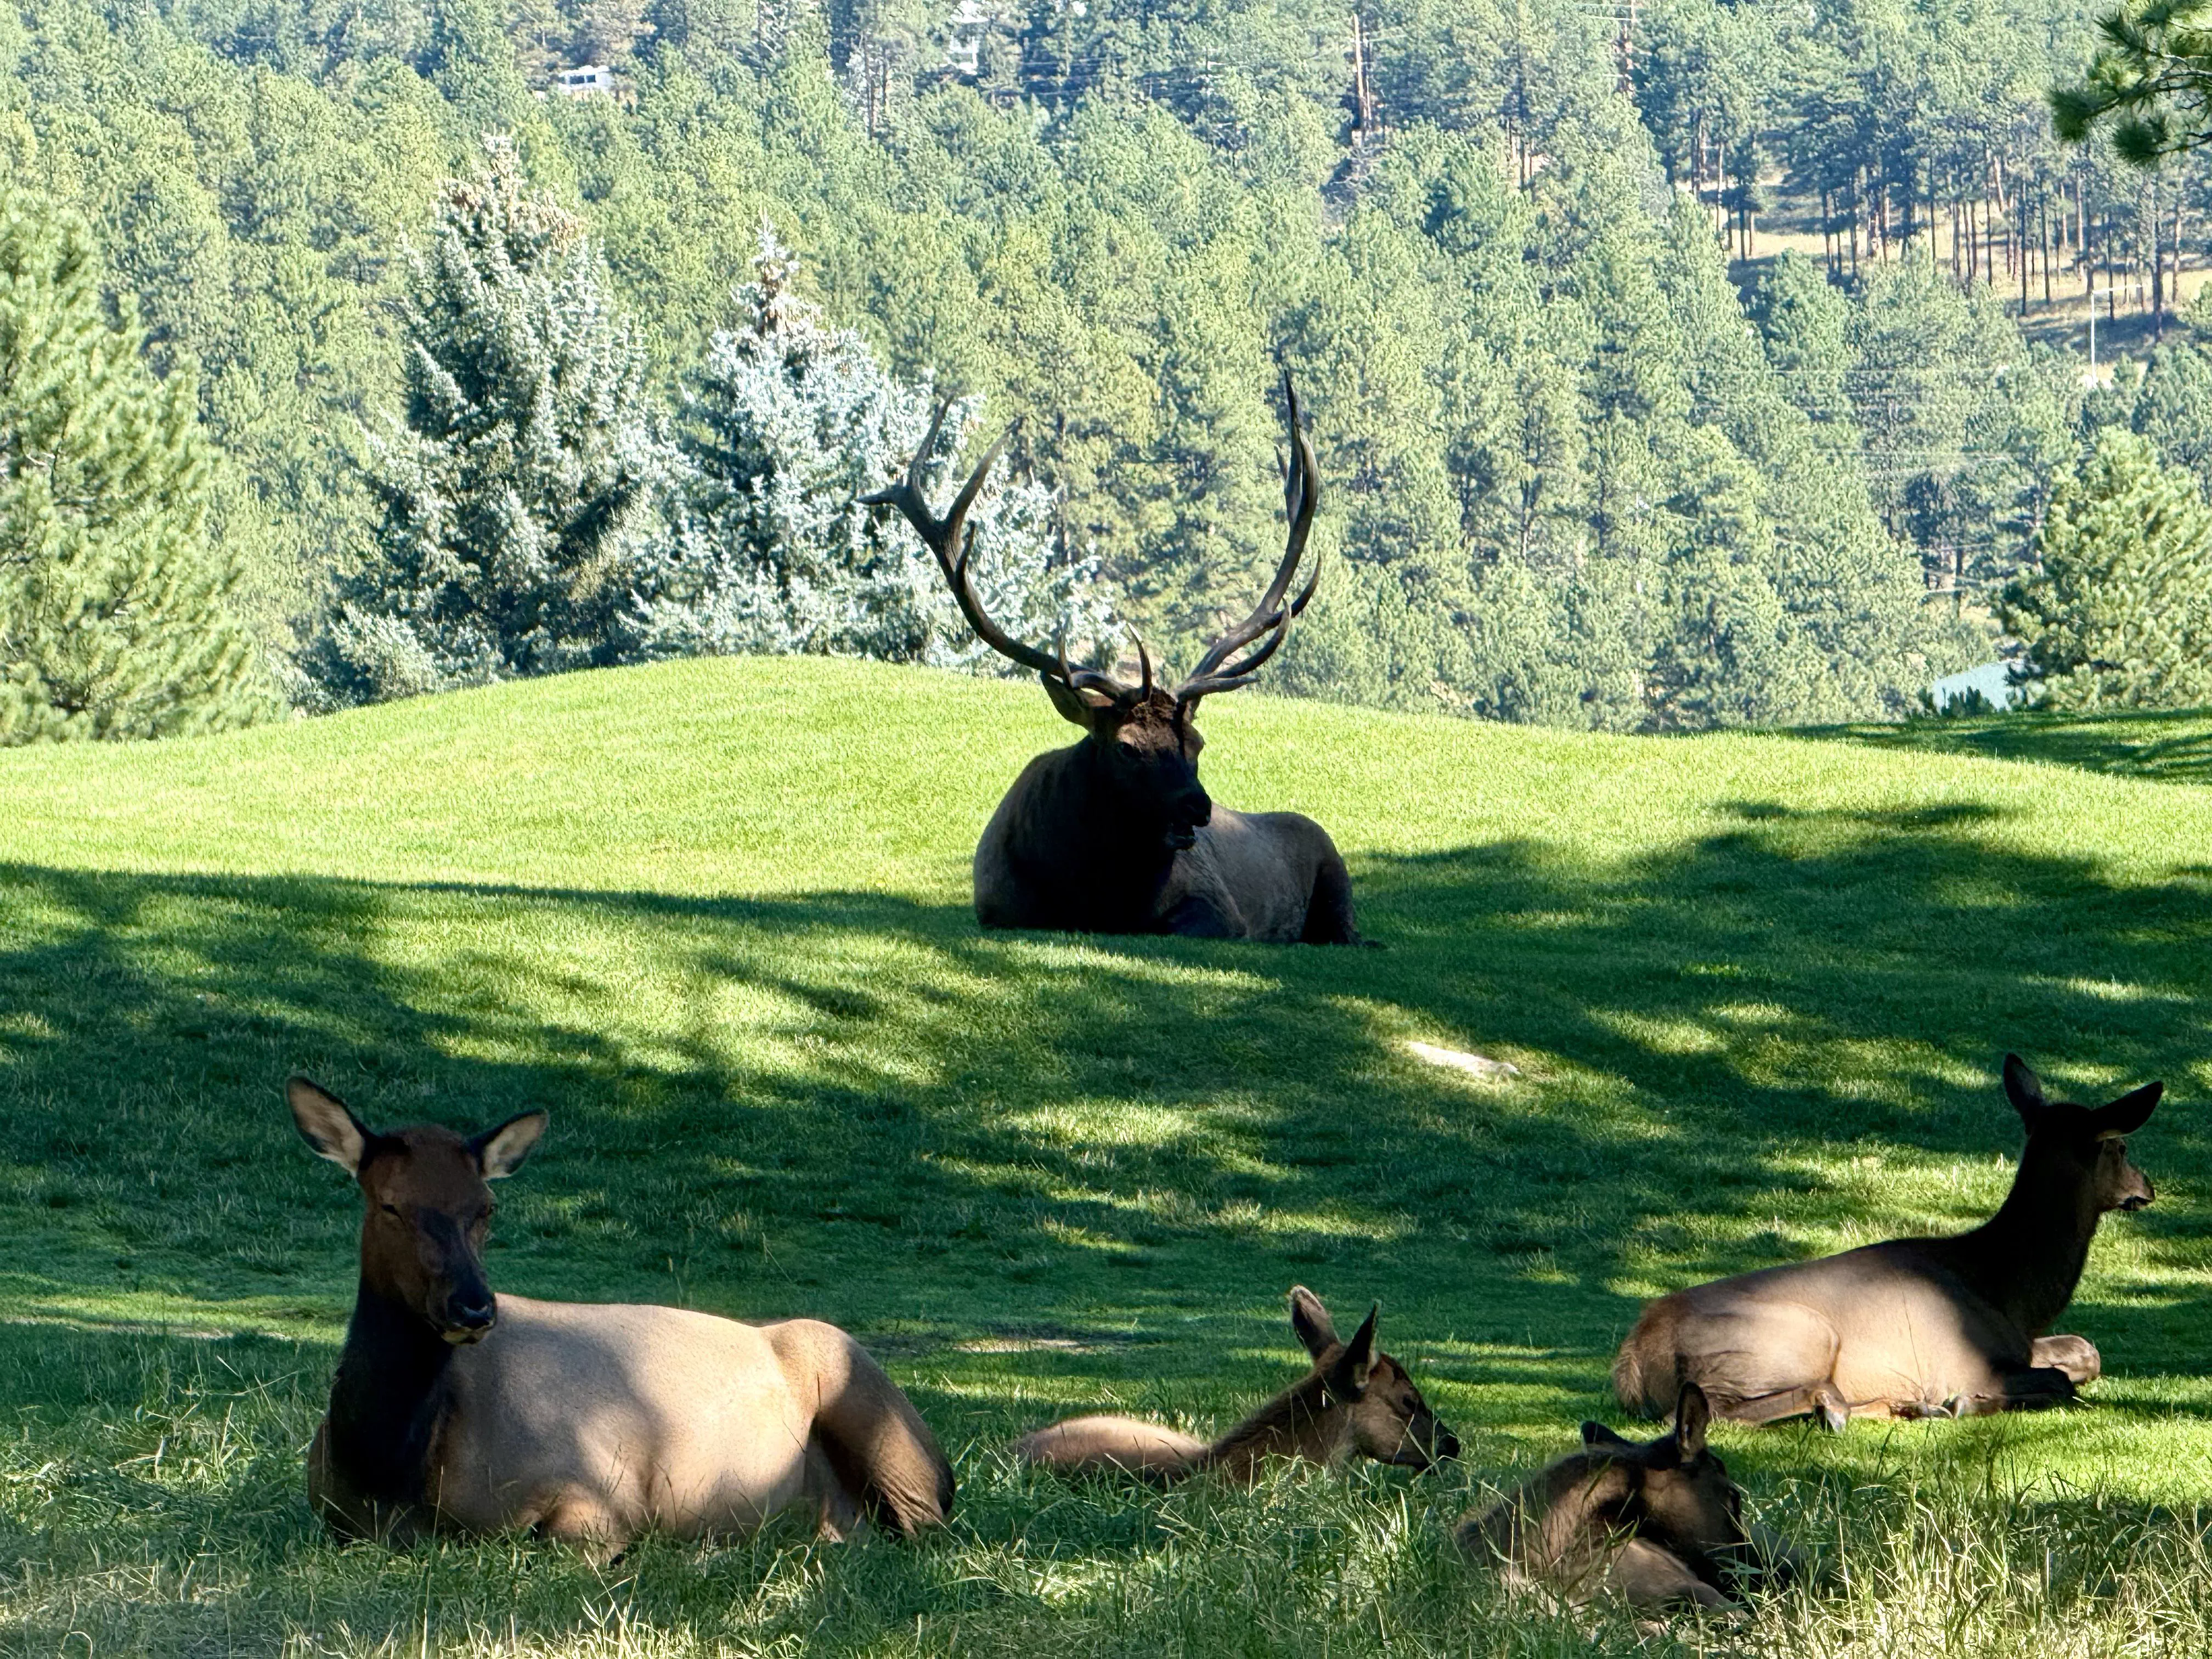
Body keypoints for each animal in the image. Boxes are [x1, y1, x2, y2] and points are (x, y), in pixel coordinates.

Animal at [287, 1077, 953, 1555]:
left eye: (487, 1205)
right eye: (389, 1204)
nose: (473, 1306)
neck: (390, 1473)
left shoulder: (602, 1492)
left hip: (871, 1407)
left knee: (921, 1531)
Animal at [863, 377, 1362, 944]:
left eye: (1197, 742)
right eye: (1127, 747)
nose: (1198, 805)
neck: (1095, 897)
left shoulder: (1222, 911)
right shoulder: (996, 909)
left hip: (1336, 876)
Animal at [1614, 1055, 2162, 1428]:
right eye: (2121, 1146)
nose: (2149, 1186)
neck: (2010, 1292)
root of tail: (1635, 1359)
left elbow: (2085, 1352)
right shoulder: (1968, 1363)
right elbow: (2060, 1382)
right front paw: (1966, 1403)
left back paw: (1905, 1406)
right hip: (1796, 1338)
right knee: (1710, 1409)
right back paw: (1847, 1408)